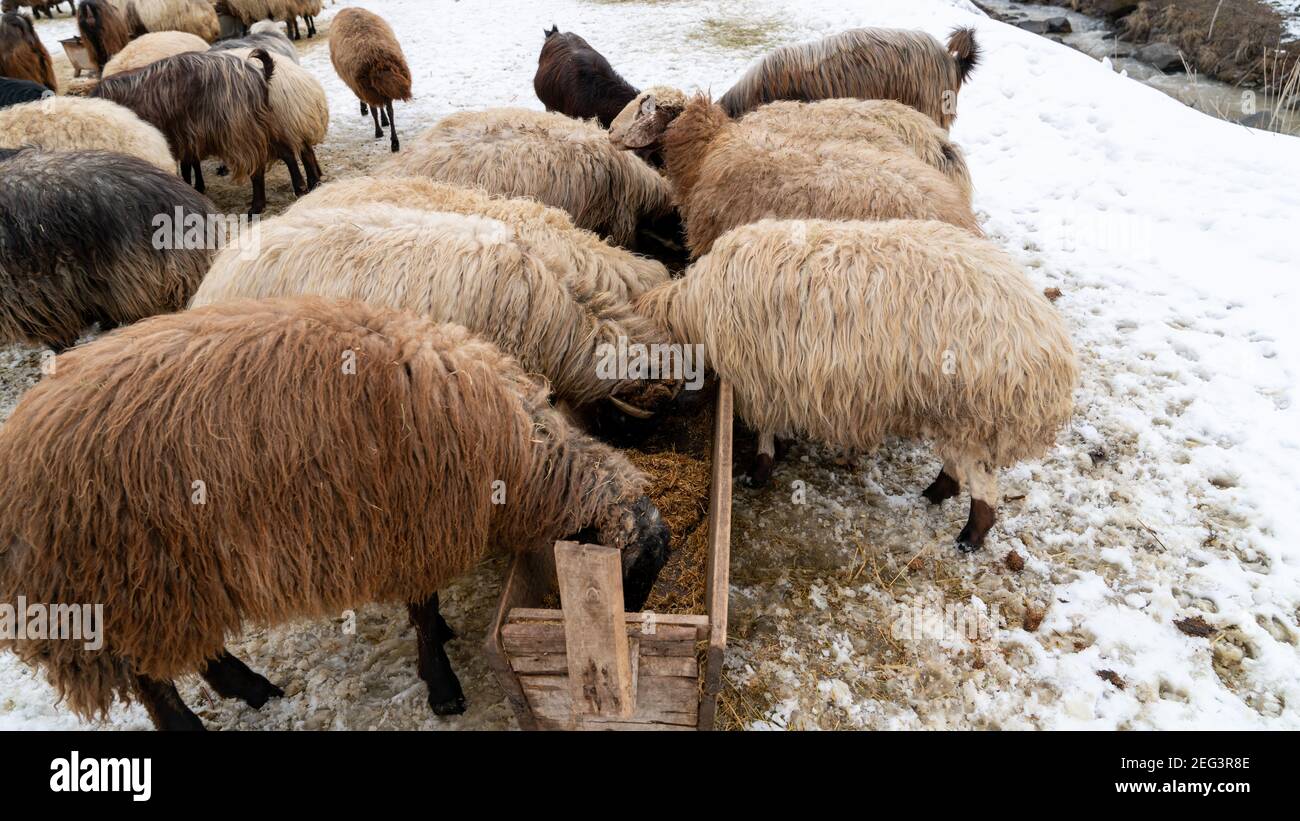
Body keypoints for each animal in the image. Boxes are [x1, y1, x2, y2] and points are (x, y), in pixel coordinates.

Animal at [0, 296, 671, 727]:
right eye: (629, 578)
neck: (519, 460)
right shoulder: (414, 523)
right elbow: (421, 606)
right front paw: (442, 685)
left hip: (170, 579)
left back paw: (249, 687)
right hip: (114, 584)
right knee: (150, 680)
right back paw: (196, 723)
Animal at [93, 49, 279, 214]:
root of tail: (259, 74)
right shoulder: (187, 137)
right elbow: (190, 165)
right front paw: (197, 188)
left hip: (240, 132)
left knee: (256, 169)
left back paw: (256, 207)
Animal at [328, 6, 411, 152]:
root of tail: (378, 59)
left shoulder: (360, 87)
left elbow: (373, 107)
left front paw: (365, 110)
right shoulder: (377, 91)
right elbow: (383, 106)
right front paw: (384, 121)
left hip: (365, 86)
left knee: (374, 111)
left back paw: (379, 132)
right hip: (374, 86)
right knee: (390, 110)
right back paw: (394, 141)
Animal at [637, 218, 1077, 552]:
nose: (672, 405)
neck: (696, 309)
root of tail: (1047, 335)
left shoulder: (762, 379)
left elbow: (765, 430)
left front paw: (759, 469)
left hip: (973, 408)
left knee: (983, 482)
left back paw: (969, 537)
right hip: (950, 409)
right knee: (957, 463)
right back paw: (936, 492)